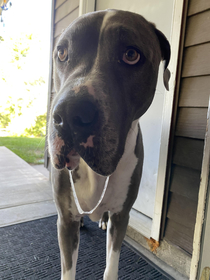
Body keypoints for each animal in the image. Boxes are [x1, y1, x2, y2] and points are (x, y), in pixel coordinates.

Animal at [48, 9, 171, 280]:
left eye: (131, 55)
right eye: (62, 53)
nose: (70, 113)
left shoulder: (122, 215)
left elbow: (111, 266)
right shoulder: (65, 220)